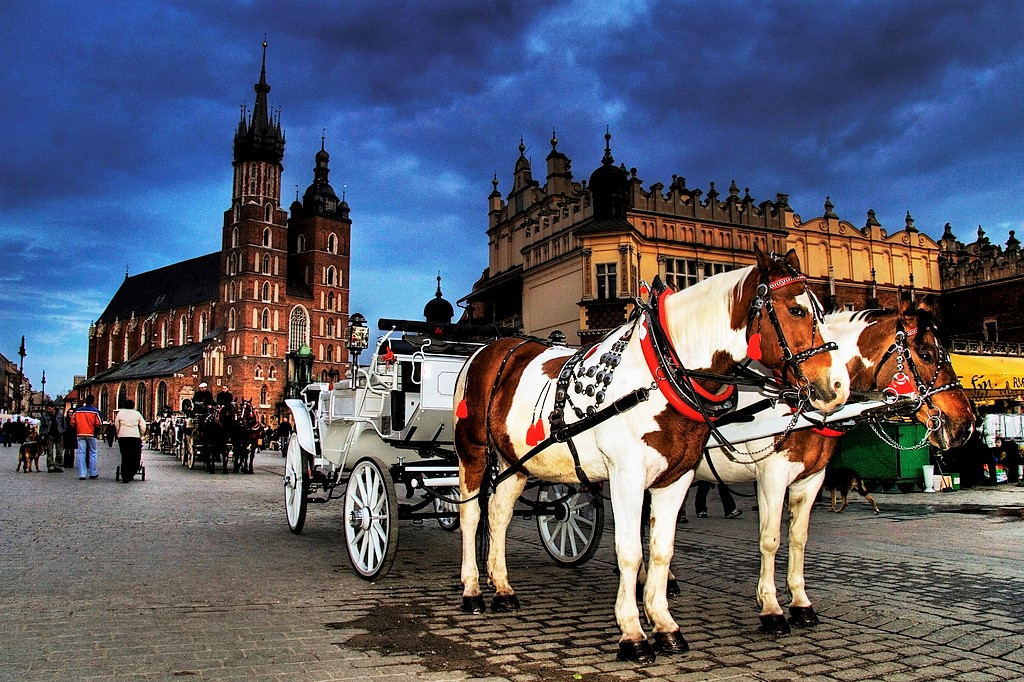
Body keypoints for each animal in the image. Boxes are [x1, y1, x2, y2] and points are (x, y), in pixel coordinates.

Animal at [454, 246, 847, 659]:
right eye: (796, 310)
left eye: (822, 311)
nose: (835, 386)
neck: (661, 370)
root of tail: (490, 349)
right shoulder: (626, 475)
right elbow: (630, 551)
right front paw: (632, 633)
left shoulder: (677, 477)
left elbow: (661, 550)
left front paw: (664, 625)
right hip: (472, 453)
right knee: (471, 515)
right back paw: (472, 589)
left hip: (514, 463)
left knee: (498, 516)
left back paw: (502, 589)